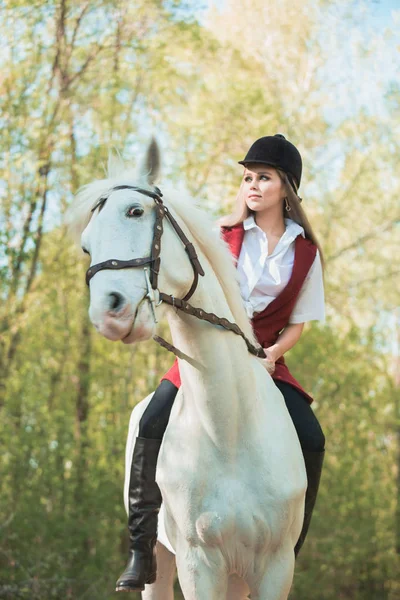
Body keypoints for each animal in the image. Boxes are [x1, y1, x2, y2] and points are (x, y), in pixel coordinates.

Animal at [69, 138, 306, 596]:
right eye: (87, 245)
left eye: (135, 212)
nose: (108, 313)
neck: (230, 430)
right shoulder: (199, 564)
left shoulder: (276, 567)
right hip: (163, 562)